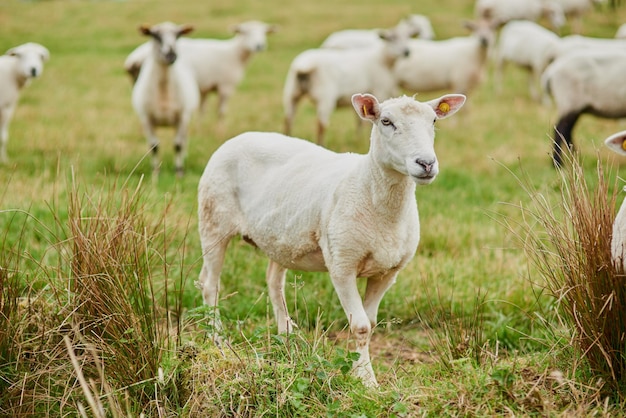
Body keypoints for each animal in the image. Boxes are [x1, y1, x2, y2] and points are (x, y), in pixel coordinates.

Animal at [125, 21, 274, 119]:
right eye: (245, 32)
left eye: (264, 33)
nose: (260, 45)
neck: (234, 54)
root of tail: (132, 58)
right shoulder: (225, 86)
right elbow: (221, 112)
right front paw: (219, 131)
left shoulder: (204, 89)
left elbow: (202, 110)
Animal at [130, 21, 199, 178]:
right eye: (155, 35)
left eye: (178, 35)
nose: (171, 54)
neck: (163, 90)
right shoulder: (146, 118)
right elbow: (154, 146)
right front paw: (155, 173)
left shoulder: (182, 117)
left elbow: (177, 145)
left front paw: (179, 172)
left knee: (183, 141)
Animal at [195, 93, 464, 386]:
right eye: (386, 121)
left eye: (434, 120)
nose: (426, 164)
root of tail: (240, 136)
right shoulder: (342, 264)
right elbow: (360, 326)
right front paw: (367, 380)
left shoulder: (388, 272)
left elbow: (370, 323)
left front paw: (360, 371)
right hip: (213, 221)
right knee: (210, 284)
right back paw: (218, 340)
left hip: (280, 238)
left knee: (273, 282)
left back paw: (286, 337)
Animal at [282, 27, 410, 145]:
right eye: (391, 39)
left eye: (407, 37)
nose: (407, 52)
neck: (382, 60)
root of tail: (304, 65)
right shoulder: (379, 91)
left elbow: (359, 121)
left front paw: (358, 139)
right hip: (325, 97)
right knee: (321, 124)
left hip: (291, 92)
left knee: (288, 119)